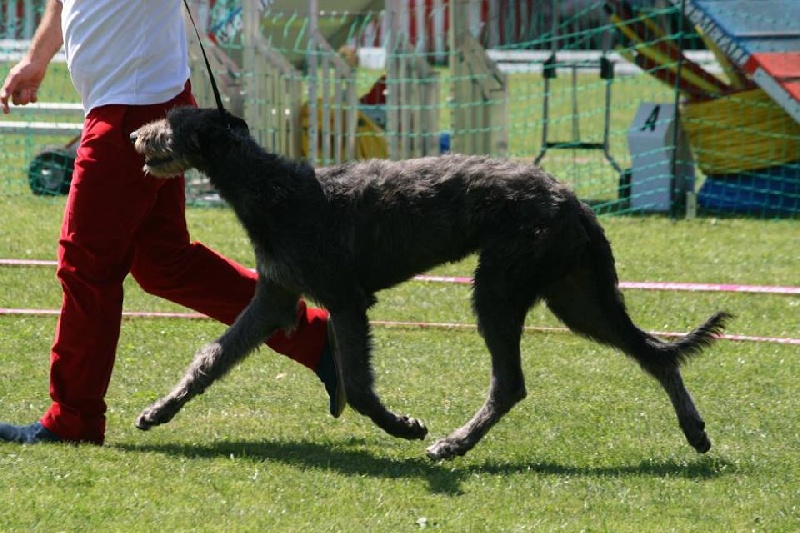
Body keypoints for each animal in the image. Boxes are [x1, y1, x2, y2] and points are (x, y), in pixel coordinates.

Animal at [130, 107, 730, 460]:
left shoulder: (346, 300)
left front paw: (401, 426)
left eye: (171, 122)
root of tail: (573, 198)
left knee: (511, 382)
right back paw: (693, 428)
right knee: (653, 353)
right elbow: (211, 357)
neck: (269, 187)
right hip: (575, 294)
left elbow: (360, 386)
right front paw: (162, 410)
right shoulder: (274, 297)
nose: (135, 133)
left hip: (502, 284)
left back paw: (453, 443)